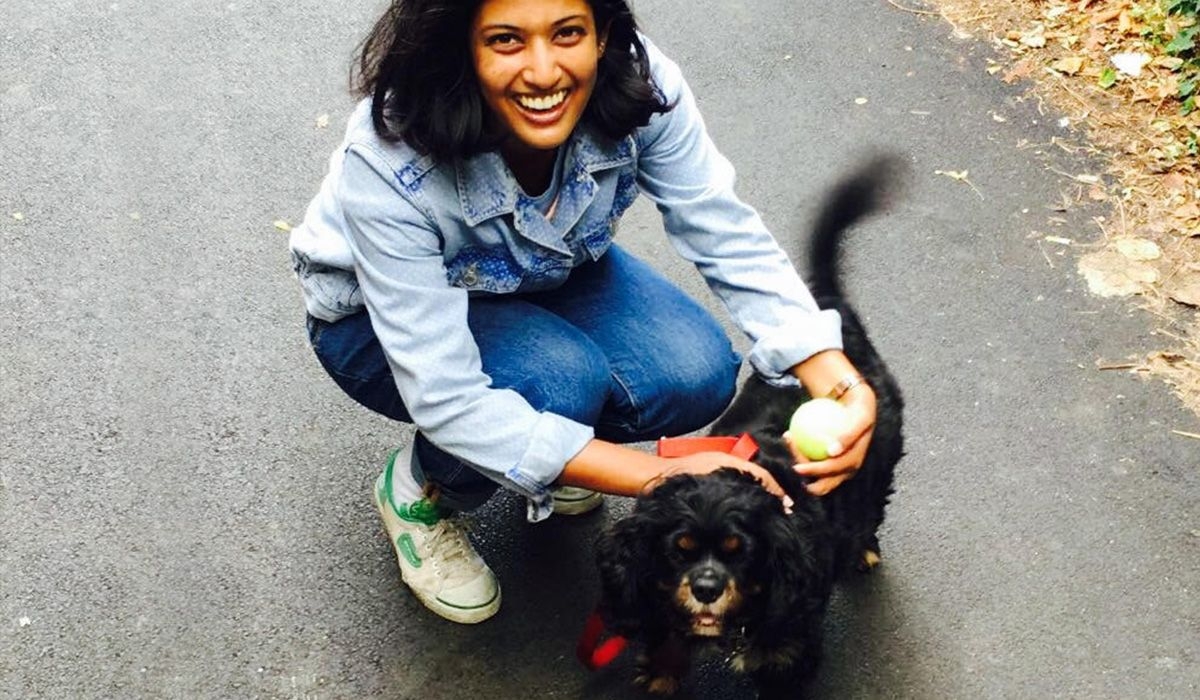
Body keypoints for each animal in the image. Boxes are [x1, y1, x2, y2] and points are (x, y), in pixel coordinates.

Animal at [595, 159, 902, 700]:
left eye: (742, 554)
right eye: (679, 551)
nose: (706, 588)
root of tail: (837, 317)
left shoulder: (789, 648)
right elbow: (667, 641)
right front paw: (661, 676)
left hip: (880, 452)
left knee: (872, 503)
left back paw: (864, 548)